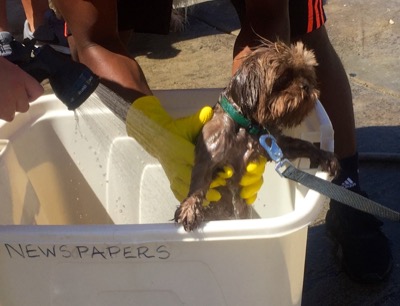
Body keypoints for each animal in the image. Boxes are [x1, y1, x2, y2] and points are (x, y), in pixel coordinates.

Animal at [173, 41, 340, 232]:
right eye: (284, 78)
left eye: (305, 75)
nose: (305, 86)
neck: (246, 126)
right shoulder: (210, 152)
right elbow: (199, 181)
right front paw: (189, 208)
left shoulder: (274, 144)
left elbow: (304, 144)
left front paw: (325, 156)